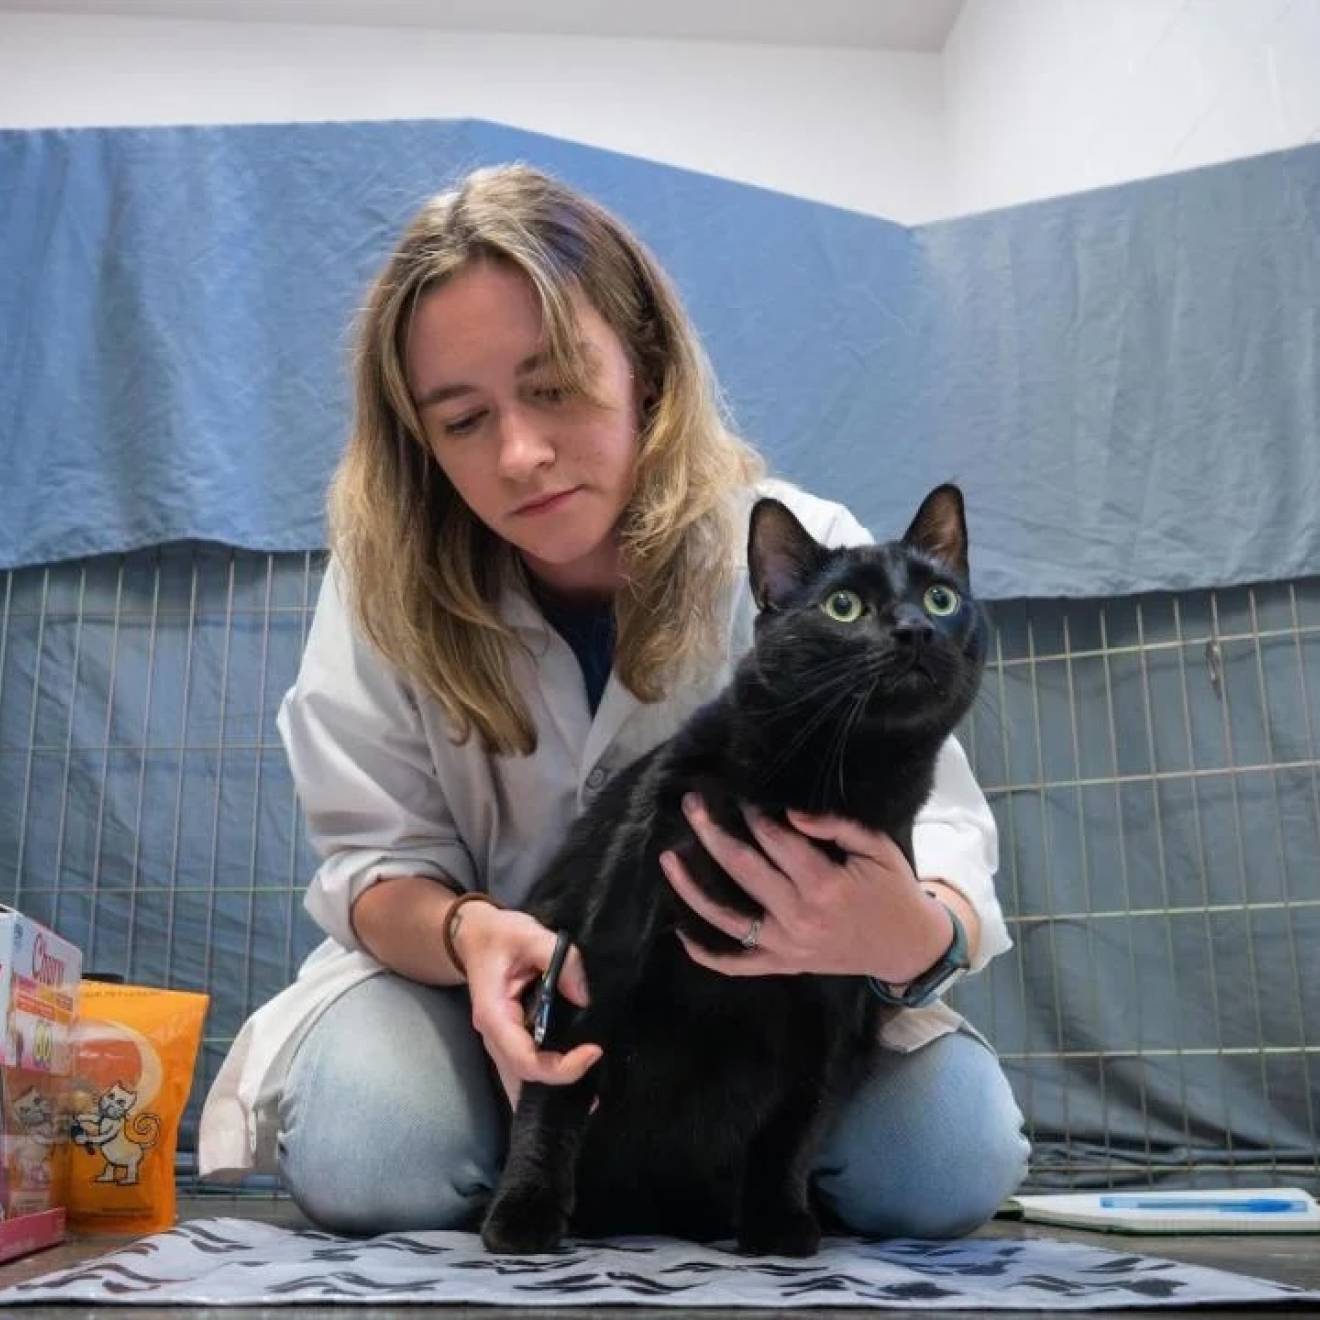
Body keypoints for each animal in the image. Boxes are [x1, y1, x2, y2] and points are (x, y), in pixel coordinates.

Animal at [485, 485, 992, 1256]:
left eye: (941, 597)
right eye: (844, 607)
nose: (914, 630)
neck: (821, 783)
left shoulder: (834, 1006)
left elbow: (795, 1127)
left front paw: (779, 1225)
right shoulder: (597, 953)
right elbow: (557, 1087)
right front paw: (525, 1214)